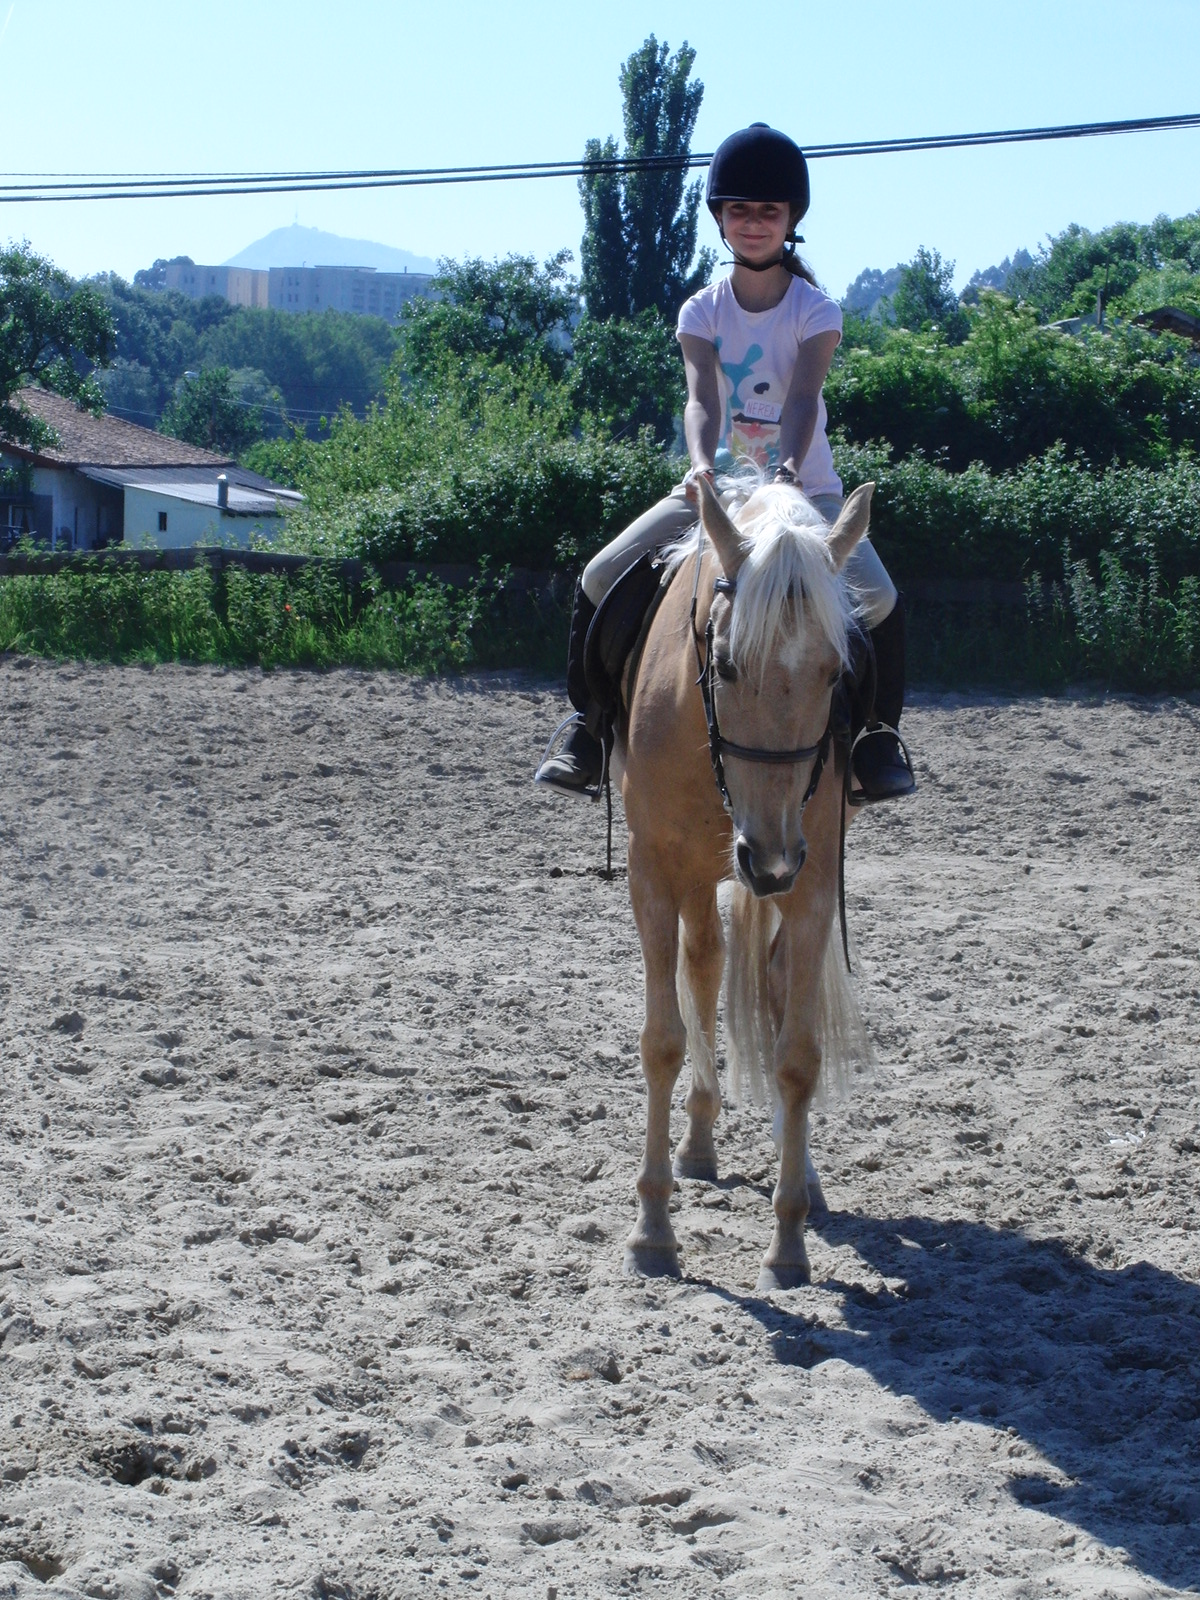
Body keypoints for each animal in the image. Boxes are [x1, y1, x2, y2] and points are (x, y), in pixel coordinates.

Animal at [620, 470, 876, 1286]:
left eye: (836, 671)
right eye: (727, 665)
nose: (767, 857)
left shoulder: (813, 883)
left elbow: (797, 1055)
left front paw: (788, 1241)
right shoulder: (653, 872)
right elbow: (662, 1040)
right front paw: (653, 1229)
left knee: (760, 982)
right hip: (703, 876)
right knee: (704, 967)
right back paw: (697, 1146)